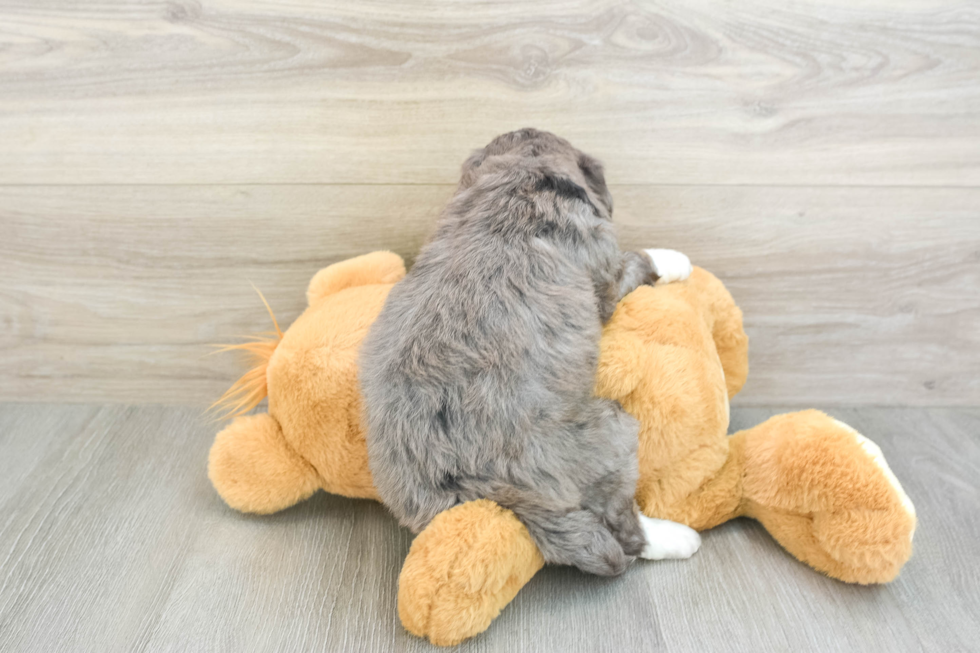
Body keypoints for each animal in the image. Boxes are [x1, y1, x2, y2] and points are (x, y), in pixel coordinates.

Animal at [360, 129, 696, 576]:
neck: (517, 183)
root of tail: (471, 481)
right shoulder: (605, 277)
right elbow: (637, 260)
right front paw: (673, 260)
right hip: (612, 432)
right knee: (625, 527)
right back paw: (678, 537)